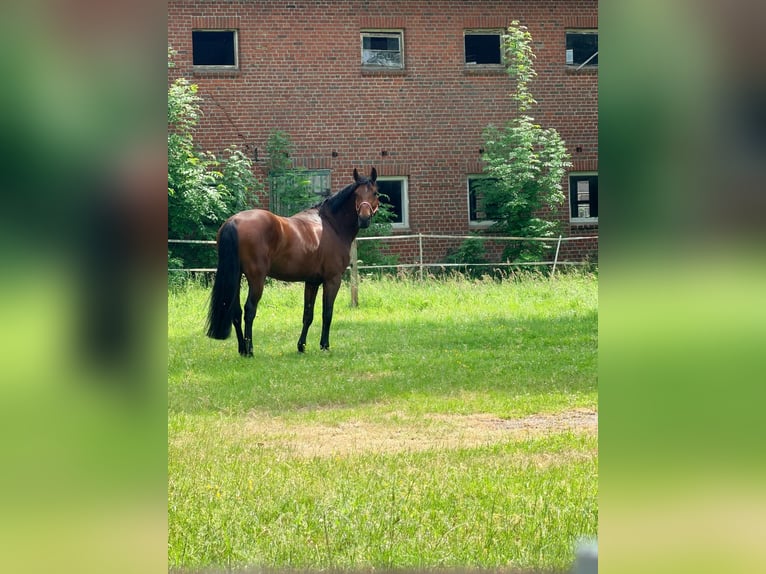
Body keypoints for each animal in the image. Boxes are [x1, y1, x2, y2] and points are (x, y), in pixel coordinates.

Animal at [206, 167, 380, 355]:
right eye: (356, 194)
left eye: (375, 193)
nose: (364, 219)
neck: (331, 225)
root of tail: (234, 221)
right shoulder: (332, 280)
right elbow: (327, 313)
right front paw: (324, 345)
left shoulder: (312, 282)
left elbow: (308, 315)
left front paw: (301, 346)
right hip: (256, 278)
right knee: (249, 310)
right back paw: (250, 350)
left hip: (236, 276)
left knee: (236, 312)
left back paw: (242, 349)